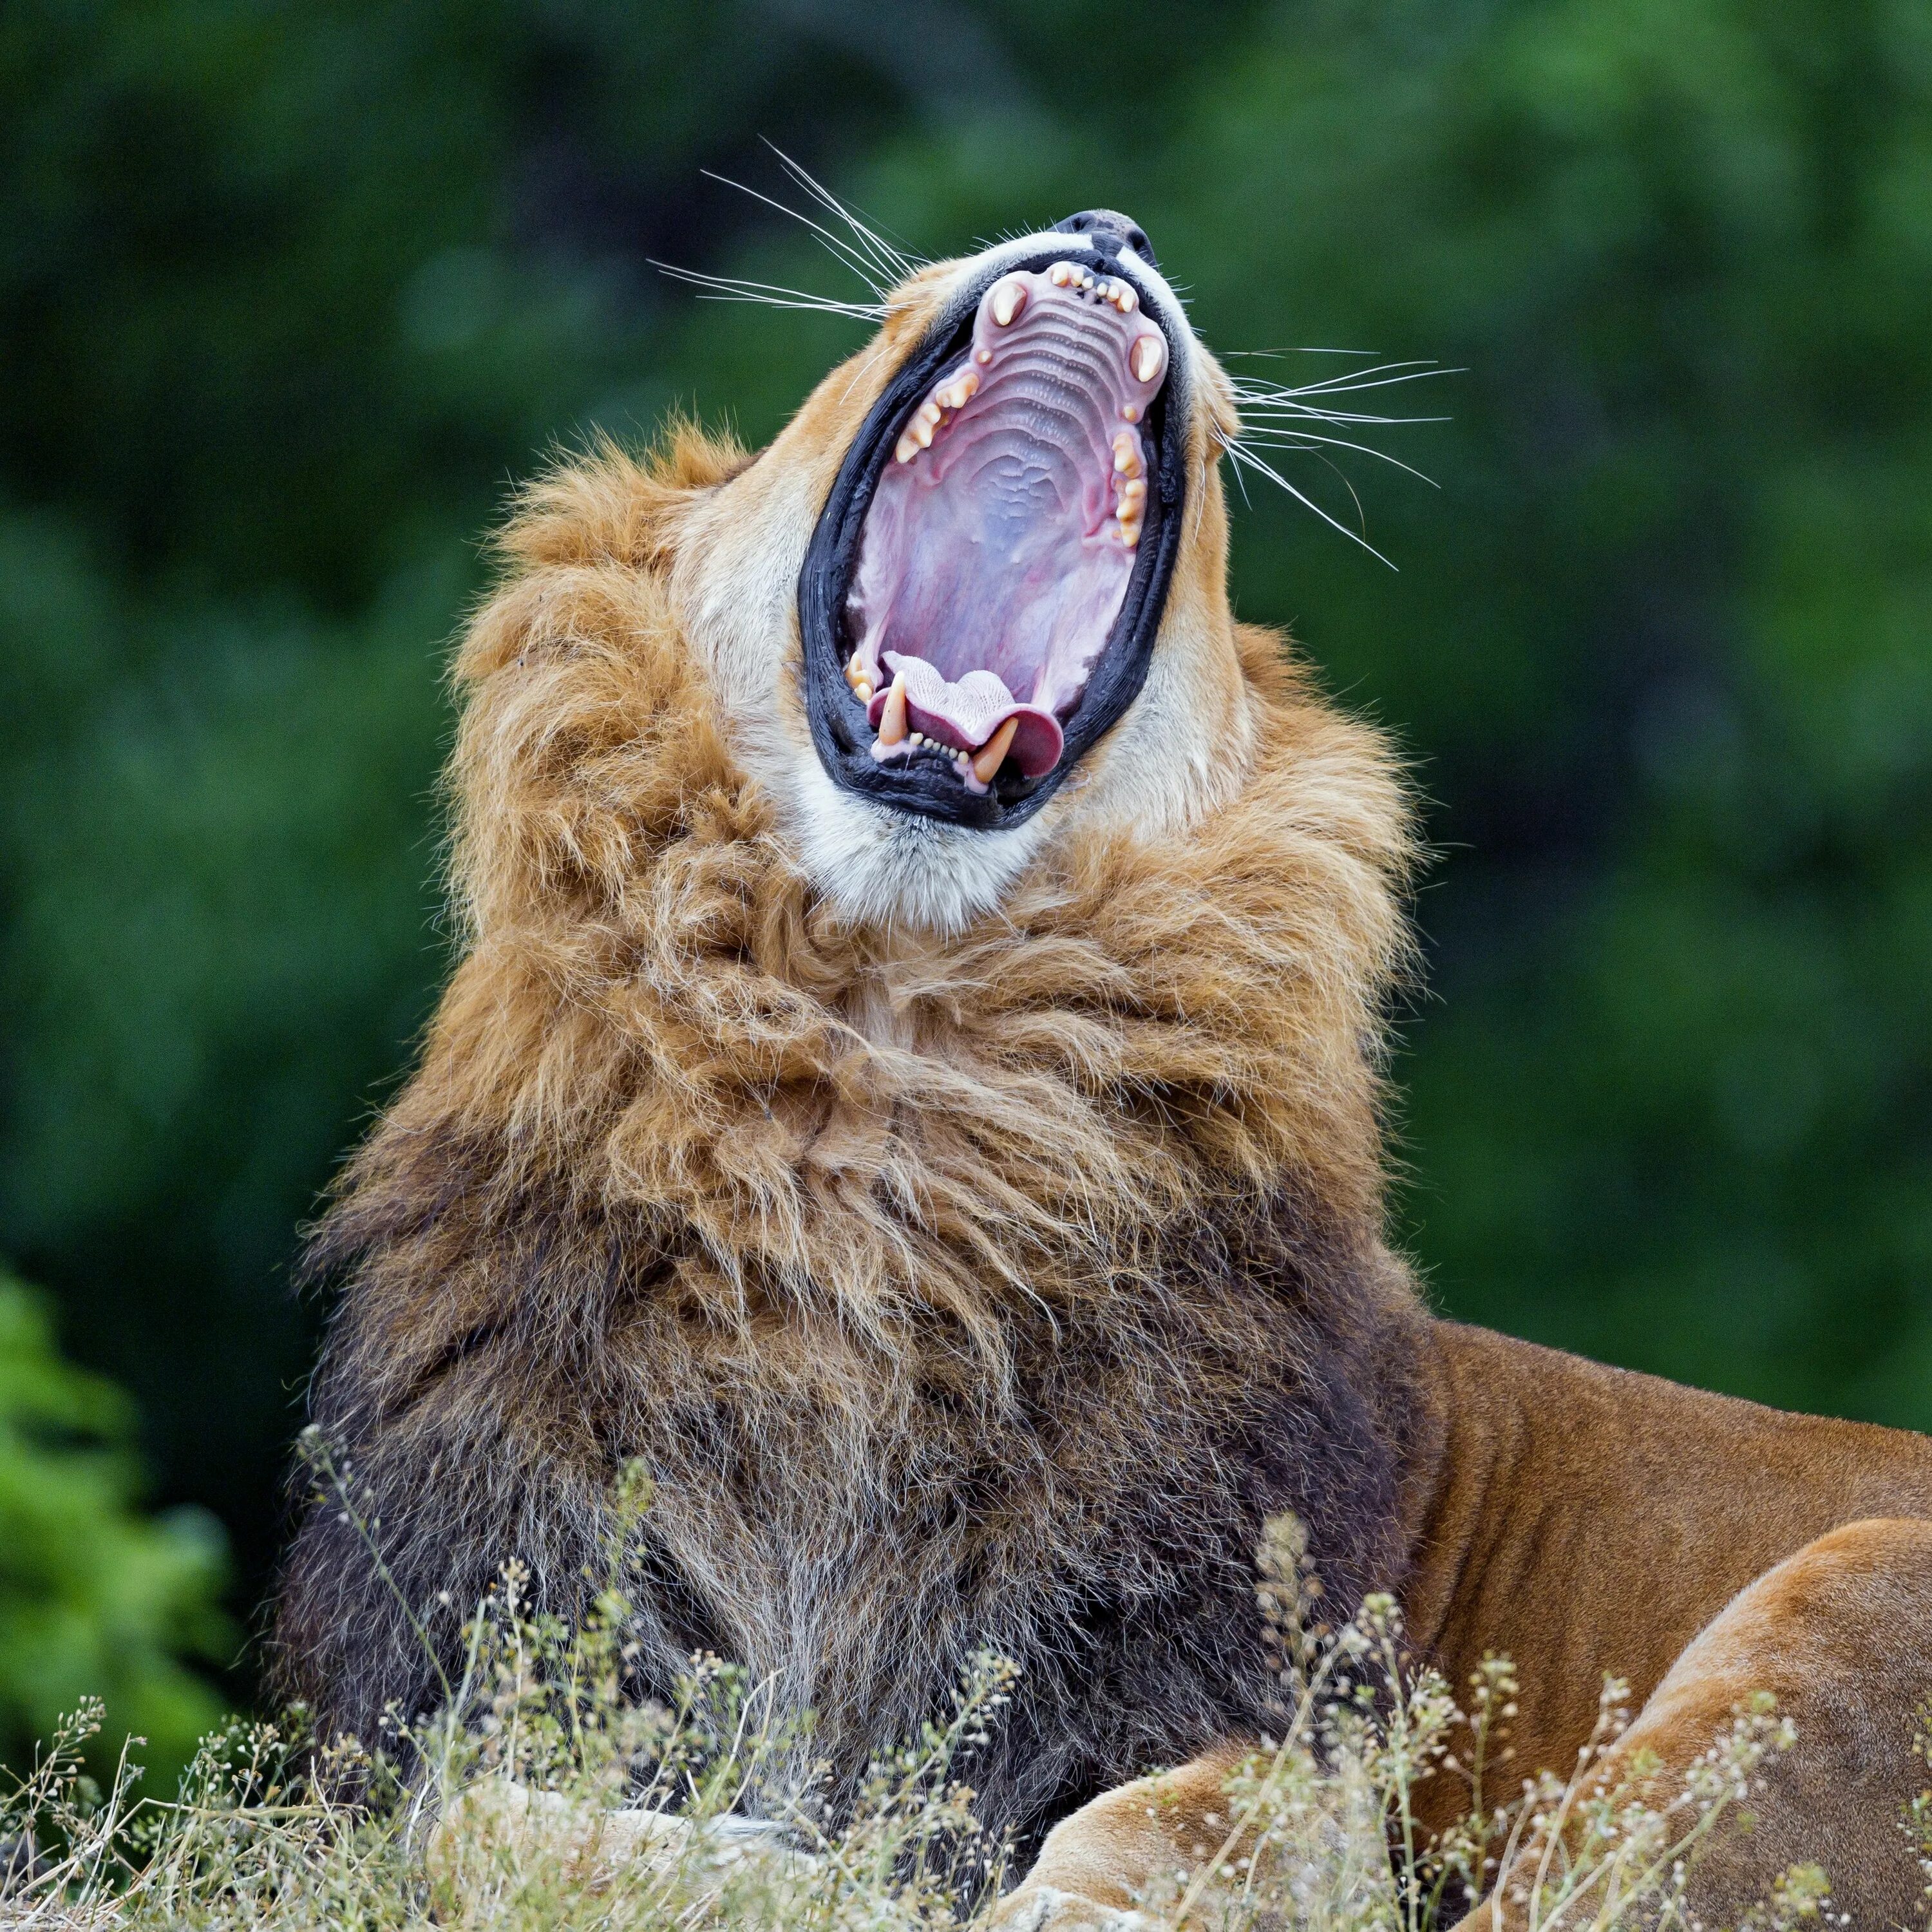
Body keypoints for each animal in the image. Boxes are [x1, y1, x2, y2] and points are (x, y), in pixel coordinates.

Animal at [280, 204, 1932, 1924]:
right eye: (884, 311)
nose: (1105, 227)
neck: (878, 1067)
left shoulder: (1277, 1757)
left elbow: (1119, 1838)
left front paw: (844, 1859)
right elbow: (455, 1809)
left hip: (1854, 1591)